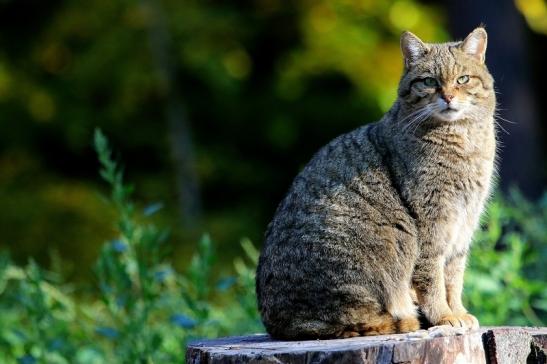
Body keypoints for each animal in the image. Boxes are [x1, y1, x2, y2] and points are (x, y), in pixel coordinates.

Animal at [256, 27, 496, 340]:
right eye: (429, 81)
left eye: (463, 79)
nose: (448, 96)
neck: (462, 140)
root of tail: (278, 325)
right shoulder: (432, 225)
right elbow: (433, 279)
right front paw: (443, 317)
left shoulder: (462, 226)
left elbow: (454, 279)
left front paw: (457, 312)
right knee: (357, 320)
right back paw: (407, 319)